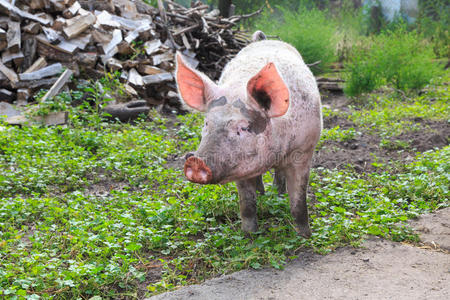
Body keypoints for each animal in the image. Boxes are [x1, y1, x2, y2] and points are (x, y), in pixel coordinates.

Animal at [177, 34, 324, 238]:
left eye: (244, 127)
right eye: (206, 123)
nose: (196, 161)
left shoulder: (304, 151)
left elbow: (299, 202)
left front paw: (304, 236)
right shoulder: (238, 165)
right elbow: (246, 205)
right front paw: (249, 236)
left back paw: (277, 194)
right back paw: (264, 195)